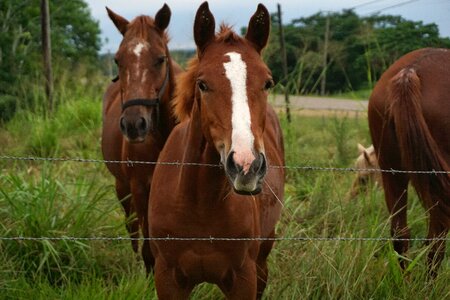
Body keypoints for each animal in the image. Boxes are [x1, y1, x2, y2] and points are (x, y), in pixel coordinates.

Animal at [102, 4, 183, 274]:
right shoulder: (139, 187)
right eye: (117, 60)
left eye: (160, 59)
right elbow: (148, 245)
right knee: (133, 227)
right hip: (122, 187)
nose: (133, 125)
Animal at [148, 2, 284, 298]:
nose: (247, 165)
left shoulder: (244, 278)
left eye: (268, 82)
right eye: (202, 84)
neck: (200, 204)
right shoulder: (167, 278)